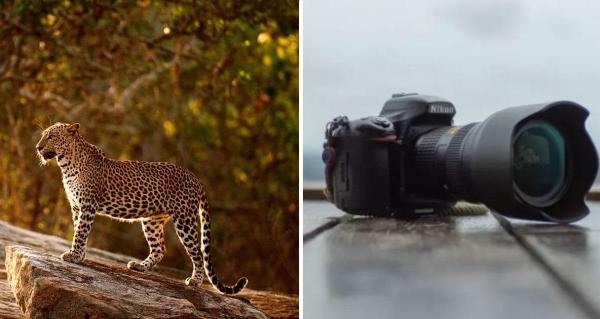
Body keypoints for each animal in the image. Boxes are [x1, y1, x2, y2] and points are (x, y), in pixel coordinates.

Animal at [35, 122, 247, 296]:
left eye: (51, 136)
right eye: (43, 135)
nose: (38, 147)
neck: (66, 164)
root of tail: (196, 179)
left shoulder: (87, 206)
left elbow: (80, 232)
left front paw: (74, 256)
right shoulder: (76, 207)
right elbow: (78, 230)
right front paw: (79, 255)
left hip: (184, 220)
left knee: (198, 252)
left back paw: (195, 281)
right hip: (152, 220)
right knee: (160, 248)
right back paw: (140, 266)